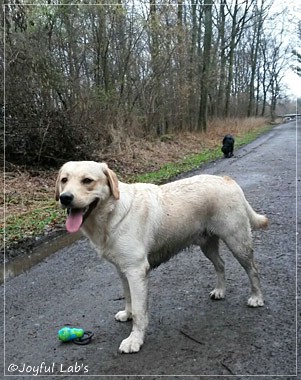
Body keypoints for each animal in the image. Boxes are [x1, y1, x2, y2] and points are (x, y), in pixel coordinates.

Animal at [55, 160, 268, 354]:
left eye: (87, 181)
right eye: (64, 180)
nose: (65, 198)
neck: (111, 213)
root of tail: (227, 180)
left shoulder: (136, 271)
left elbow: (140, 311)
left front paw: (135, 340)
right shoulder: (122, 270)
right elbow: (128, 297)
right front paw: (127, 314)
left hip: (237, 241)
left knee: (253, 269)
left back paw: (256, 297)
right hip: (207, 245)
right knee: (221, 264)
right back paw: (220, 290)